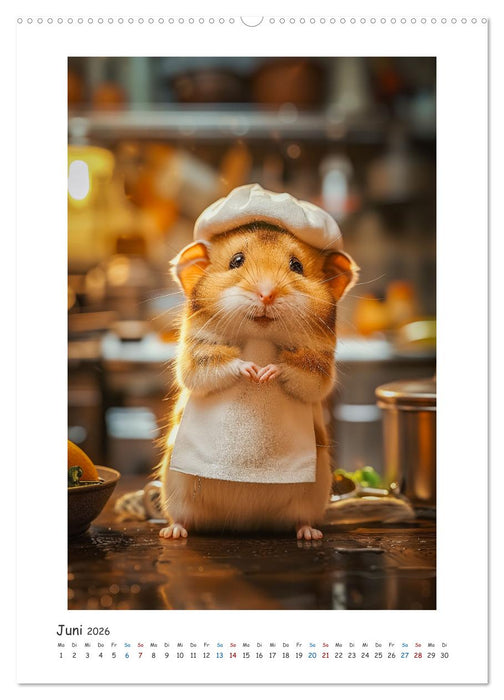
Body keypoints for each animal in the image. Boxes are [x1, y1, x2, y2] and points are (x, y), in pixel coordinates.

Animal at [156, 221, 358, 540]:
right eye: (236, 261)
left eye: (297, 265)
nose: (267, 294)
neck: (259, 337)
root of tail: (244, 523)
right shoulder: (196, 355)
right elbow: (212, 368)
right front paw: (253, 371)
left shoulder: (319, 366)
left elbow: (301, 374)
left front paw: (267, 373)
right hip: (175, 491)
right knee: (181, 518)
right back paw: (172, 533)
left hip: (313, 495)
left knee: (302, 518)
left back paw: (309, 534)